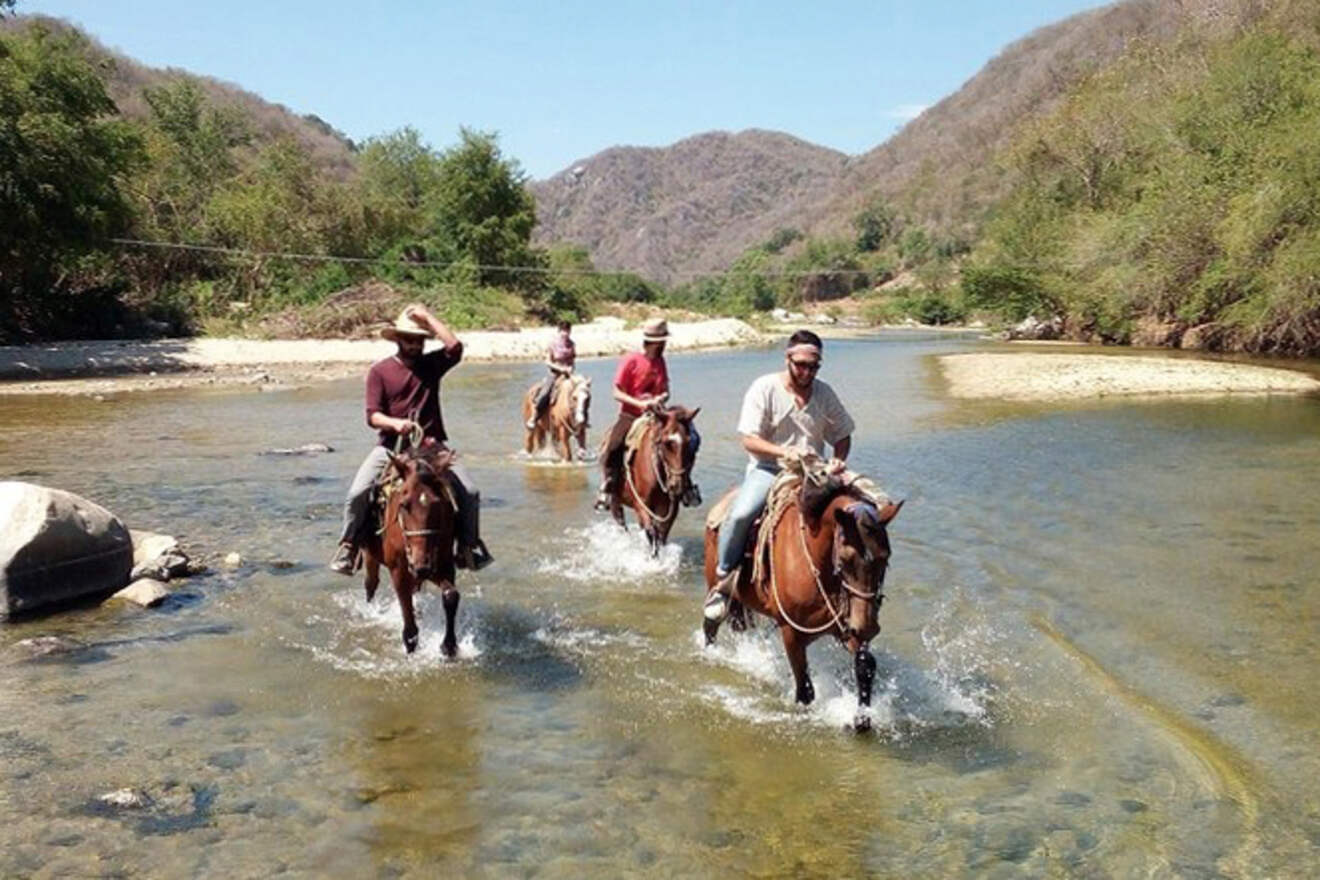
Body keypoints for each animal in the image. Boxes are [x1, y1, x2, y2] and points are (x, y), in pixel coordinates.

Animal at [361, 443, 464, 657]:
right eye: (403, 504)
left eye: (439, 504)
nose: (420, 565)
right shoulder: (399, 571)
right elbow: (408, 623)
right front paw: (411, 649)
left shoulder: (442, 565)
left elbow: (451, 595)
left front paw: (449, 646)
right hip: (370, 556)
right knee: (371, 584)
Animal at [612, 403, 707, 554]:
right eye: (666, 443)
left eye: (690, 442)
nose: (676, 485)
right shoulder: (641, 504)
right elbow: (651, 533)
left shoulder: (670, 509)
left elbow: (661, 534)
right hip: (616, 500)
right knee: (621, 522)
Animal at [702, 464, 908, 733]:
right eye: (846, 560)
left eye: (885, 558)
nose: (868, 627)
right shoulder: (791, 633)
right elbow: (805, 690)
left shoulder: (848, 626)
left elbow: (865, 666)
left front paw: (862, 720)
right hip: (716, 586)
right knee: (711, 624)